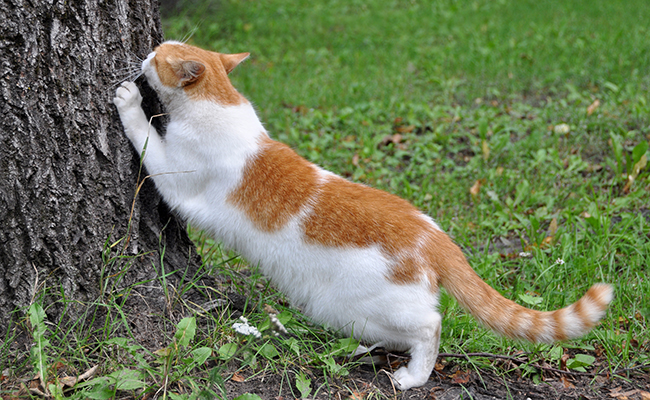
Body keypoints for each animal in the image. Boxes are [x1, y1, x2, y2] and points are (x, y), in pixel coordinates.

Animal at [115, 41, 612, 390]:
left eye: (158, 54)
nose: (145, 51)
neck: (218, 100)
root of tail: (434, 235)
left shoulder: (175, 175)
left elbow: (145, 136)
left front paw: (126, 99)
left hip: (358, 304)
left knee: (430, 326)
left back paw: (413, 376)